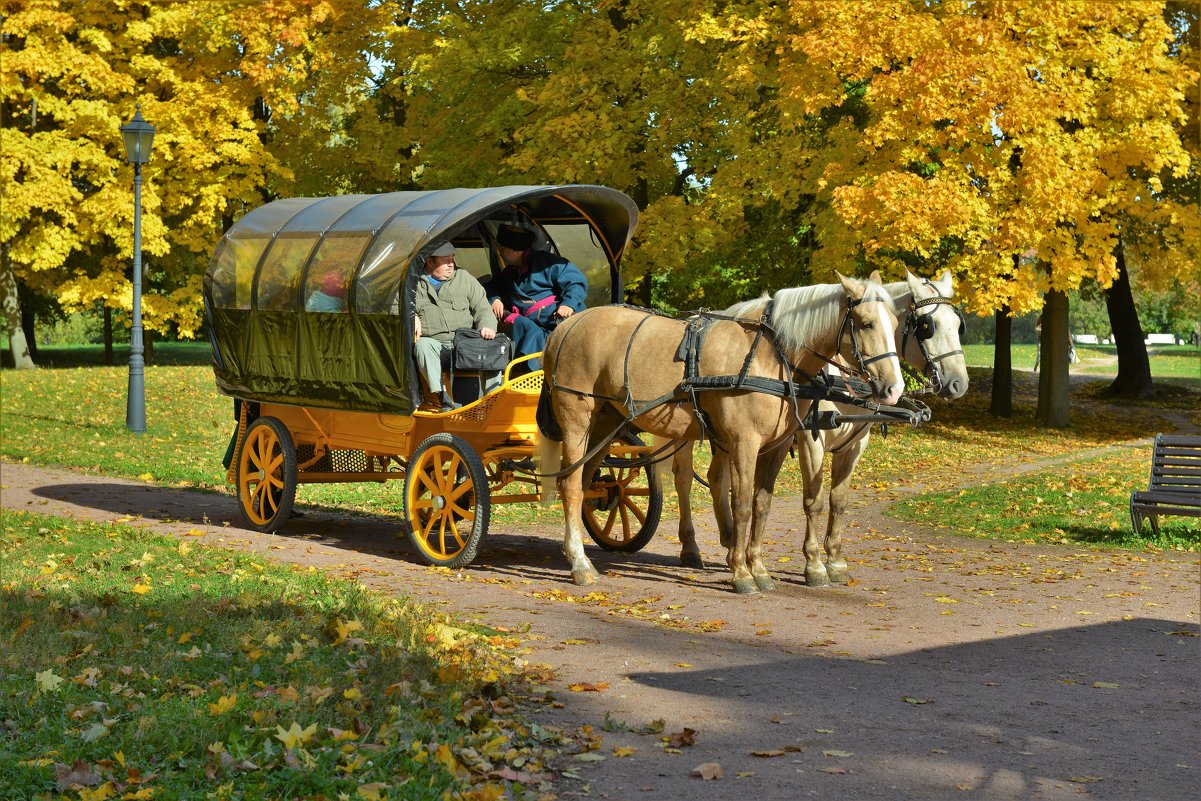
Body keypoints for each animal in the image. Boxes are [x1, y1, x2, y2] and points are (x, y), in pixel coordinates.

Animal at [540, 276, 903, 595]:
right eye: (867, 324)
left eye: (896, 324)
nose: (894, 388)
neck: (770, 355)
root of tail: (564, 327)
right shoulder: (746, 442)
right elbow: (741, 504)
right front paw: (742, 573)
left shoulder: (777, 445)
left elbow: (761, 505)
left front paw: (759, 569)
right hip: (577, 420)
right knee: (571, 485)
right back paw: (580, 564)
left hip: (606, 422)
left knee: (587, 483)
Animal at [658, 269, 965, 583]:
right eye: (927, 326)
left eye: (958, 325)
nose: (958, 383)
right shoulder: (810, 440)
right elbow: (813, 501)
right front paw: (815, 564)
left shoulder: (854, 446)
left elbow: (838, 501)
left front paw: (836, 561)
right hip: (681, 431)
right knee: (683, 479)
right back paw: (691, 547)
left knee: (717, 478)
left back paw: (730, 540)